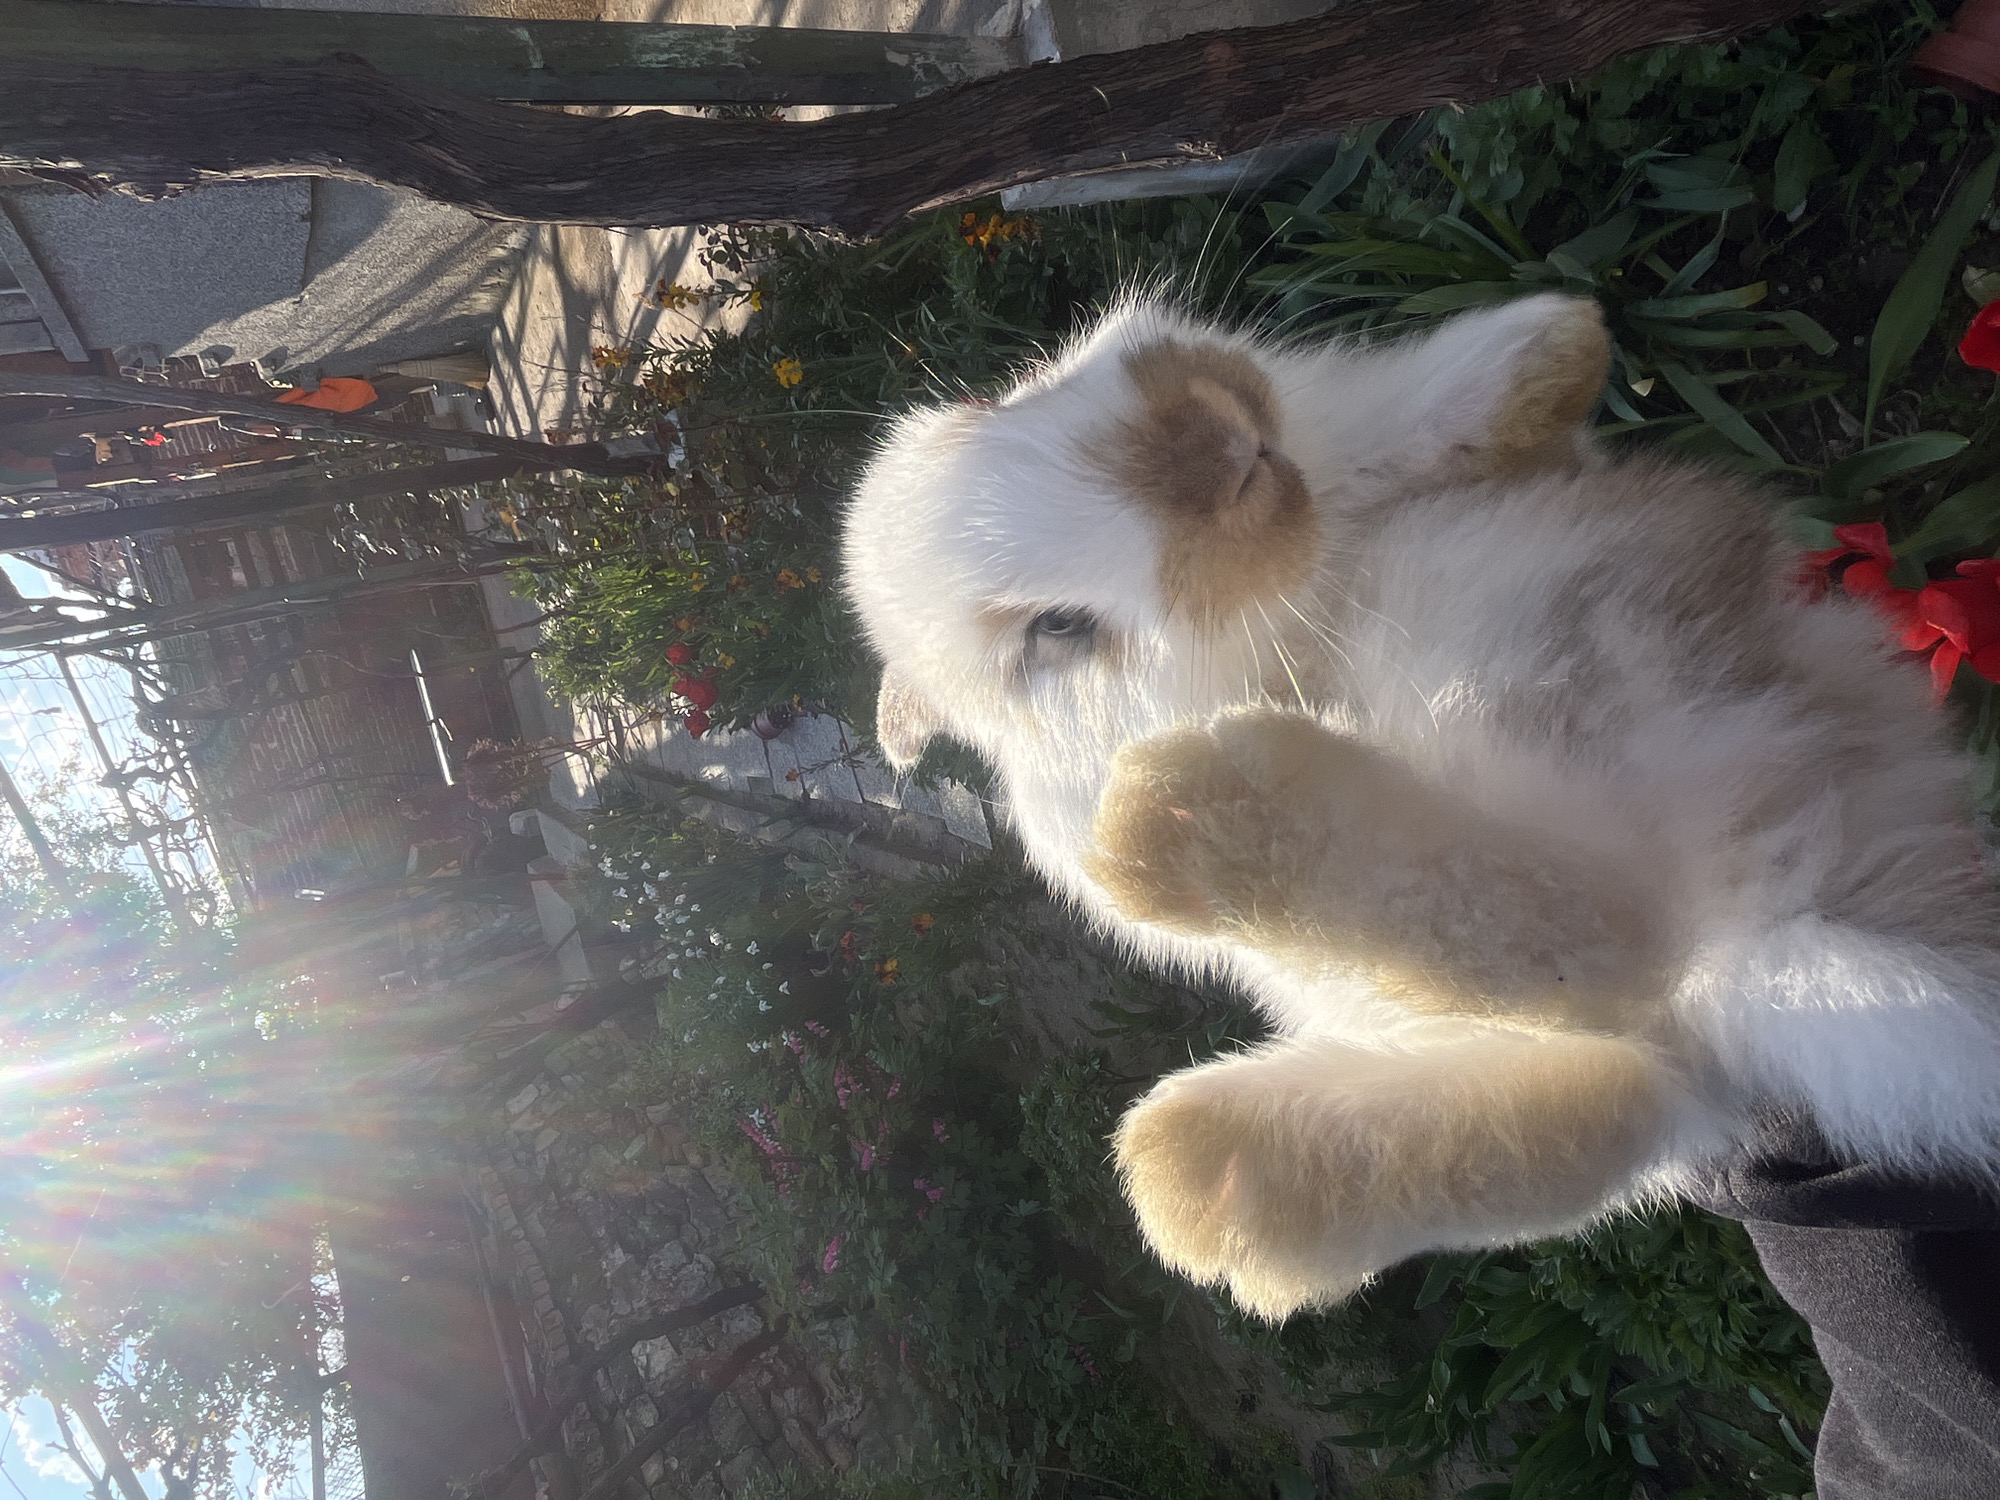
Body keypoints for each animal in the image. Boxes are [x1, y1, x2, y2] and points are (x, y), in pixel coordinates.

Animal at [840, 291, 2000, 1319]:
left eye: (1001, 398)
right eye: (1056, 631)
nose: (1215, 441)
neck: (1299, 599)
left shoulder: (1358, 452)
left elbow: (1411, 411)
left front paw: (1561, 344)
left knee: (1602, 1003)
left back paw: (1204, 1171)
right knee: (1584, 962)